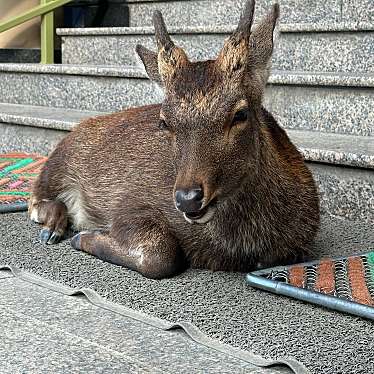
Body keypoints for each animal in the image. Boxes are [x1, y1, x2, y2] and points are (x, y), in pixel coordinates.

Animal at [27, 0, 320, 280]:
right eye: (164, 121)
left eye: (241, 113)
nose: (188, 198)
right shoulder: (127, 206)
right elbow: (161, 255)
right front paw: (84, 236)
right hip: (56, 165)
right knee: (34, 198)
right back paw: (53, 227)